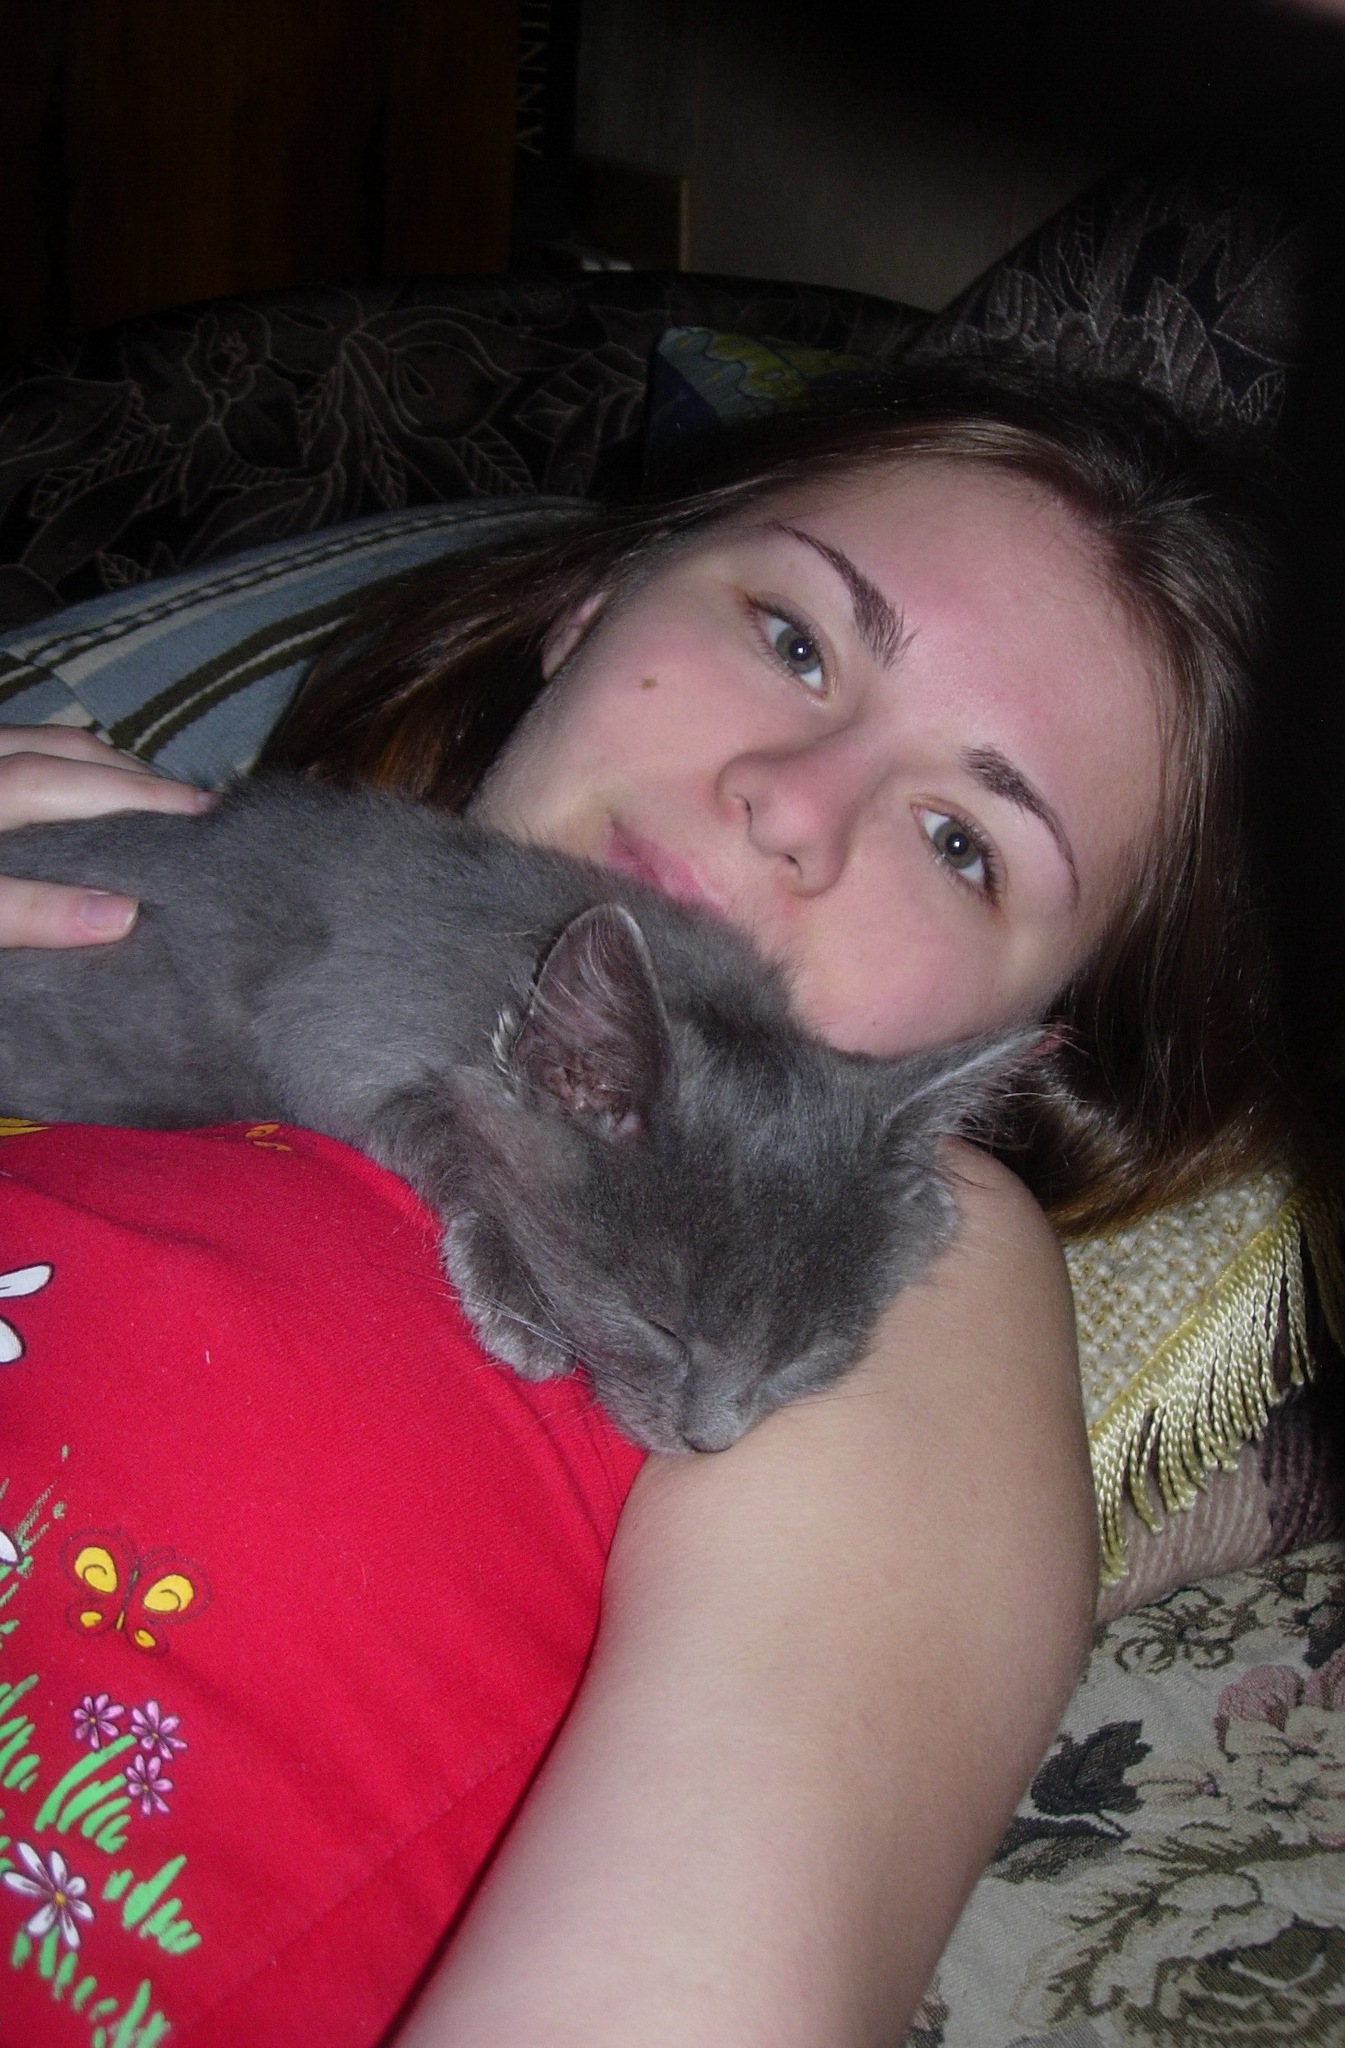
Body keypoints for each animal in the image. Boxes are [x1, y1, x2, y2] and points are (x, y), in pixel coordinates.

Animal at [0, 776, 1031, 1452]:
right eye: (657, 1326)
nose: (711, 1442)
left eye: (808, 1355)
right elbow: (447, 1125)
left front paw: (933, 1205)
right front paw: (522, 1309)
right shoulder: (331, 1029)